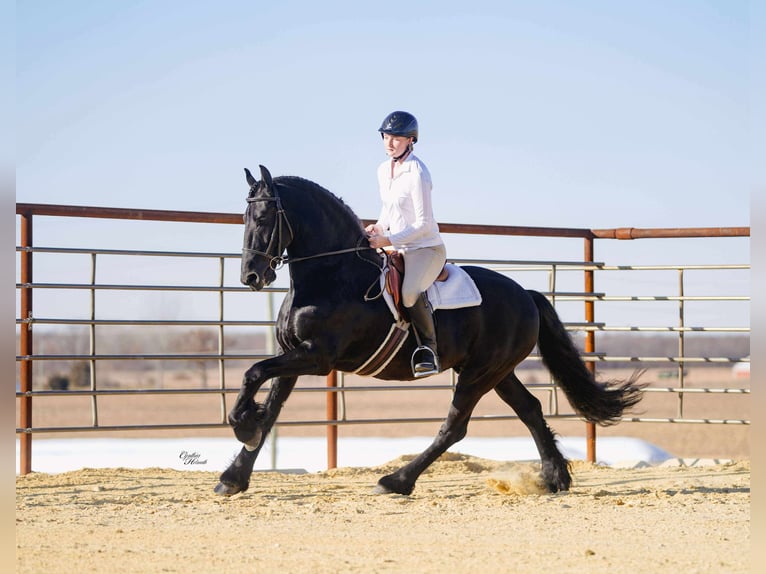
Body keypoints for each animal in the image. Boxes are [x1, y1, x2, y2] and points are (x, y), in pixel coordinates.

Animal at [215, 165, 644, 496]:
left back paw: (396, 482)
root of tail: (526, 294)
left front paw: (243, 425)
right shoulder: (294, 356)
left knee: (454, 427)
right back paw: (555, 479)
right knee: (530, 410)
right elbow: (269, 406)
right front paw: (235, 473)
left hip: (478, 374)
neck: (331, 274)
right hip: (497, 371)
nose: (251, 276)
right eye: (244, 219)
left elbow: (253, 372)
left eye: (264, 218)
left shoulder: (317, 357)